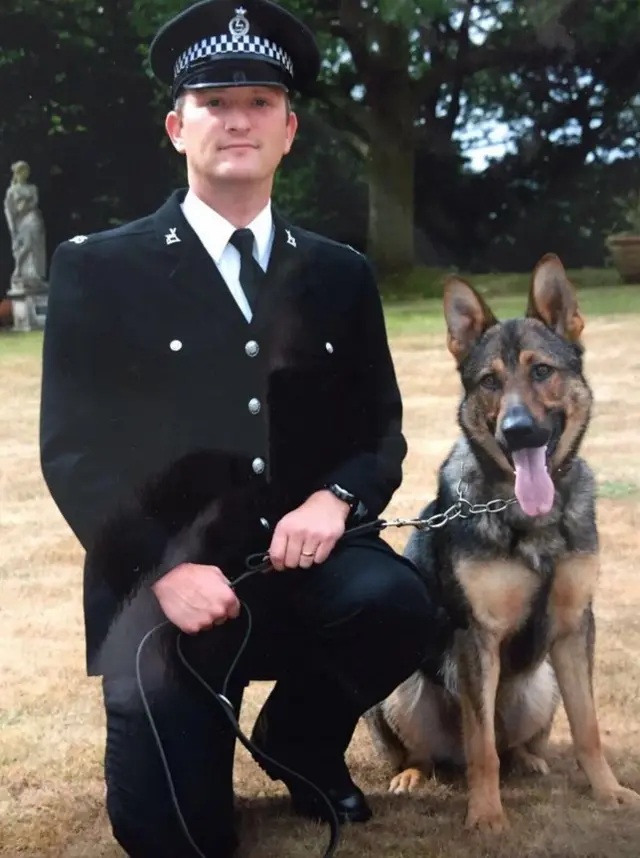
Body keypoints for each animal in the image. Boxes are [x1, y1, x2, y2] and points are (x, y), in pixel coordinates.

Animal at [364, 252, 640, 828]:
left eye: (541, 371)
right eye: (489, 381)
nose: (516, 431)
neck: (530, 517)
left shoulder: (573, 629)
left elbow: (588, 729)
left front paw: (607, 791)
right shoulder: (479, 636)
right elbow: (482, 748)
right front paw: (487, 817)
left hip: (543, 682)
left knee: (511, 743)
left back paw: (529, 760)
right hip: (400, 689)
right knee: (439, 750)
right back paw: (413, 773)